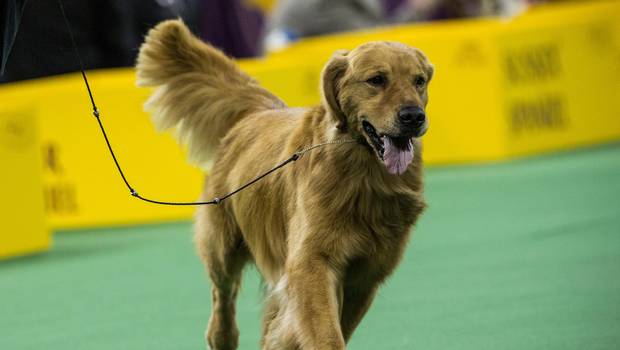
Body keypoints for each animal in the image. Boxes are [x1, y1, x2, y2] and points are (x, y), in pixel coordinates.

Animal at [138, 19, 434, 350]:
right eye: (377, 80)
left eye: (419, 81)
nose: (413, 116)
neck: (362, 175)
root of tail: (261, 111)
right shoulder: (311, 262)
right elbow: (325, 331)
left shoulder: (365, 275)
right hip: (222, 246)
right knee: (222, 297)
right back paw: (222, 336)